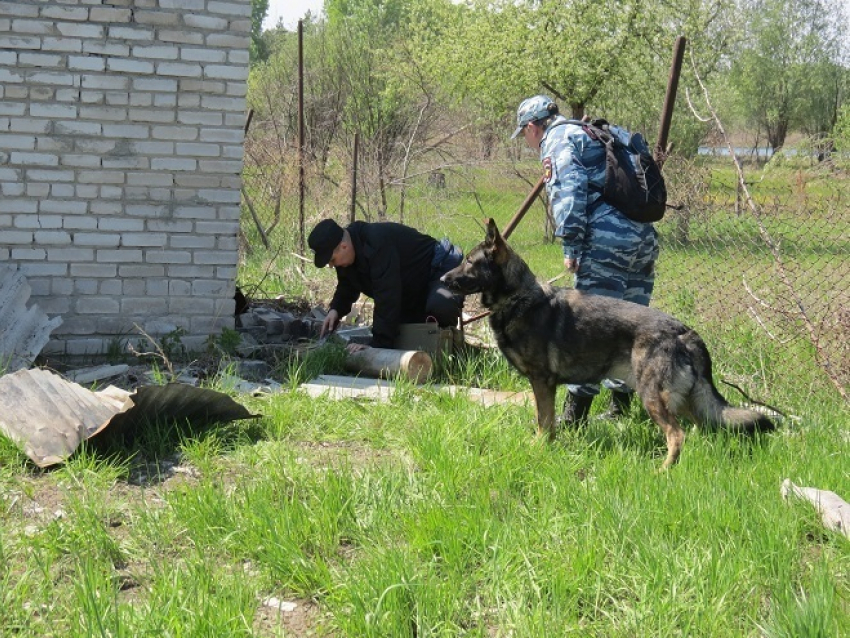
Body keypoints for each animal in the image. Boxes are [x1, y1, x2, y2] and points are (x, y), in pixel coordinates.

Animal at [440, 221, 772, 470]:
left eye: (469, 261)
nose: (443, 277)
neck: (518, 299)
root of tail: (683, 332)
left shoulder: (542, 381)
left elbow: (544, 421)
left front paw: (539, 447)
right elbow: (546, 420)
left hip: (653, 396)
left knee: (677, 435)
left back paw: (663, 471)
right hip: (684, 399)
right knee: (699, 428)